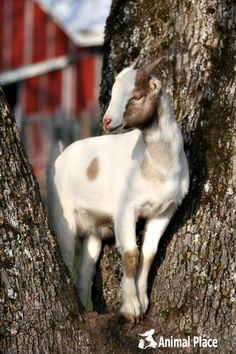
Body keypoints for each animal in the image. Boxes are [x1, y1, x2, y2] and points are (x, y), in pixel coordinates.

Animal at [48, 59, 190, 322]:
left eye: (136, 96)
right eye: (113, 93)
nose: (107, 120)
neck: (158, 166)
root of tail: (59, 158)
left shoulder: (164, 212)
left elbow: (149, 253)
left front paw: (144, 302)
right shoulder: (125, 208)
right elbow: (130, 254)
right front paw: (131, 309)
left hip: (93, 231)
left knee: (86, 268)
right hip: (63, 215)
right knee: (66, 253)